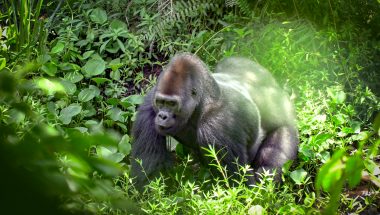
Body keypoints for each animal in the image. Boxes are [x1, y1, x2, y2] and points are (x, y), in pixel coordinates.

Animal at [131, 53, 300, 188]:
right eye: (161, 102)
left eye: (172, 104)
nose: (162, 116)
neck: (203, 102)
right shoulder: (149, 106)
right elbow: (149, 174)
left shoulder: (218, 126)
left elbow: (239, 186)